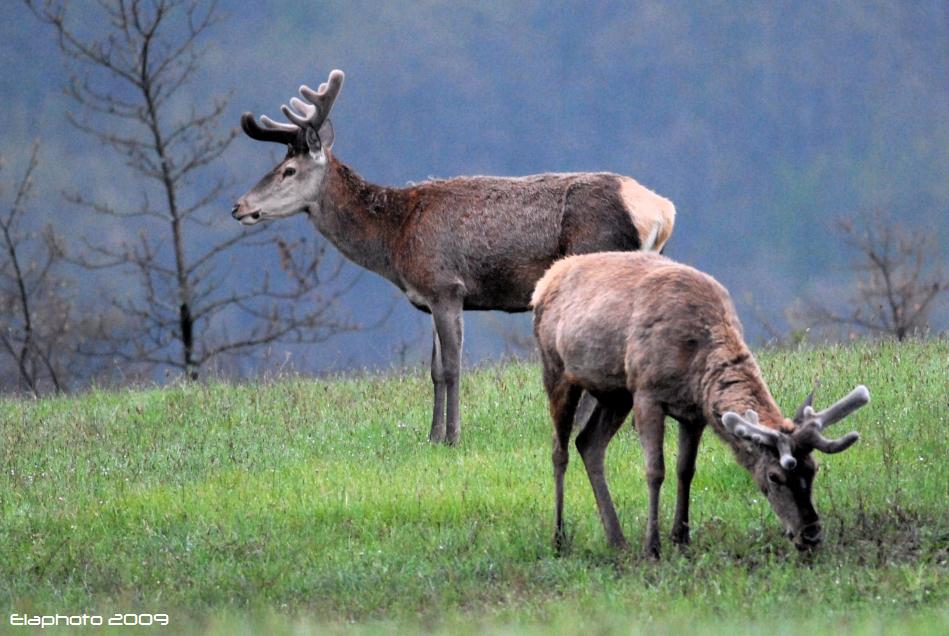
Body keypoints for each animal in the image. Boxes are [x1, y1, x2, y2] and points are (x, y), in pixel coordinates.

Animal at [231, 69, 672, 444]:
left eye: (288, 170)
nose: (239, 206)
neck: (395, 240)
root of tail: (661, 210)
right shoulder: (429, 296)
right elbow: (433, 371)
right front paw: (431, 437)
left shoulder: (446, 286)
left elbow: (451, 366)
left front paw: (453, 436)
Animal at [528, 251, 872, 560]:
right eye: (775, 476)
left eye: (813, 469)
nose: (811, 534)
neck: (696, 364)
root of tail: (545, 281)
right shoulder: (646, 391)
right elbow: (655, 470)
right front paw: (652, 547)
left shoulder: (694, 413)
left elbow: (685, 470)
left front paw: (682, 538)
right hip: (558, 369)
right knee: (559, 451)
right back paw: (559, 538)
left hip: (613, 392)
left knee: (589, 443)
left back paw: (617, 539)